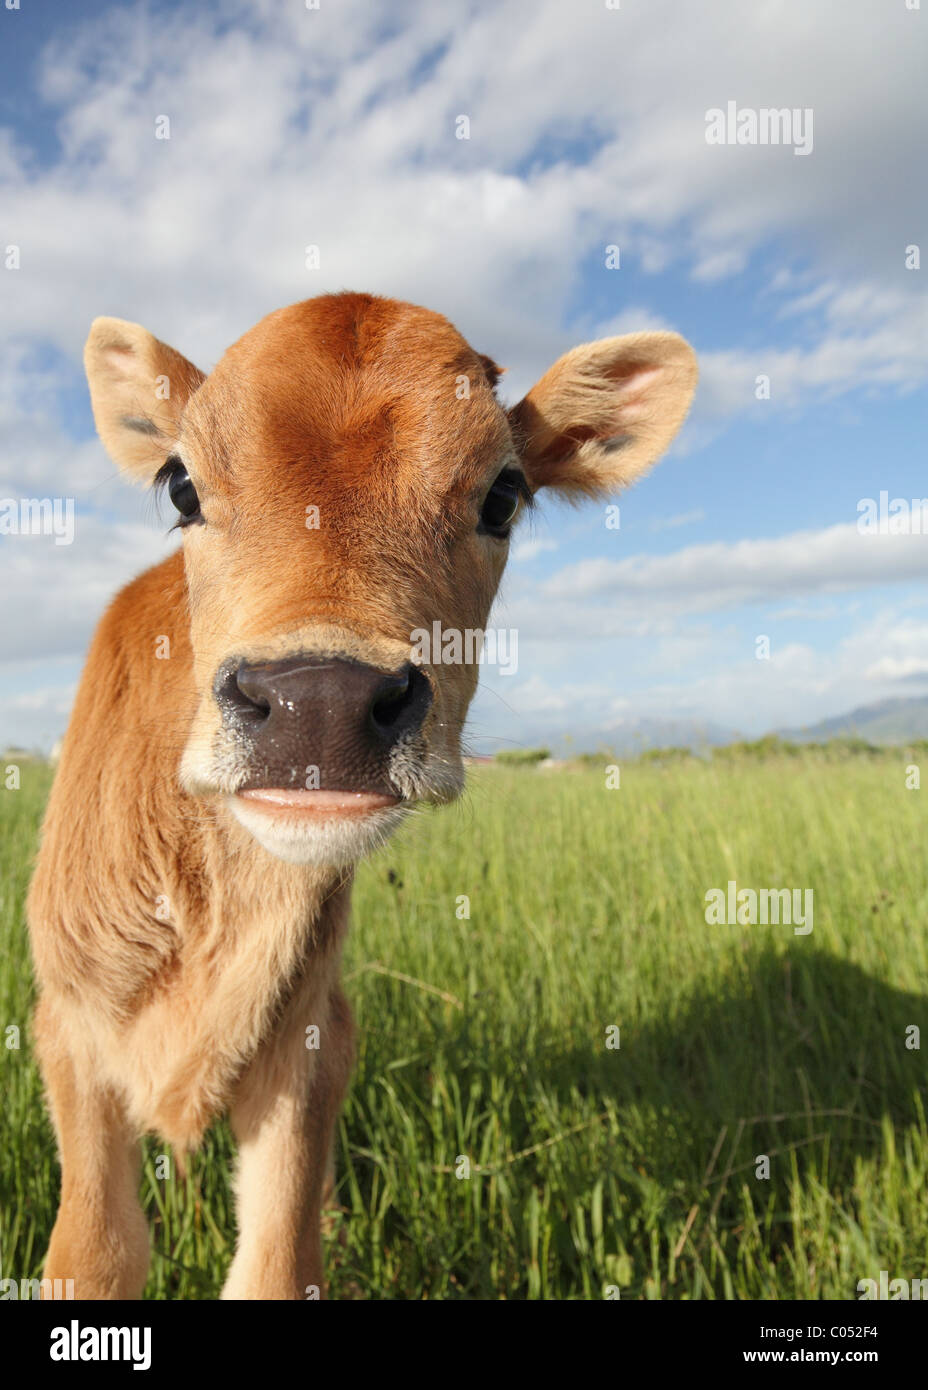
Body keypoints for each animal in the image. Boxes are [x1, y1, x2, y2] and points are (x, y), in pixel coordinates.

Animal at [27, 292, 697, 1298]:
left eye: (503, 496)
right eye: (181, 486)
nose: (318, 703)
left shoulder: (305, 1040)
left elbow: (276, 1260)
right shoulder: (67, 1024)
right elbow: (95, 1256)